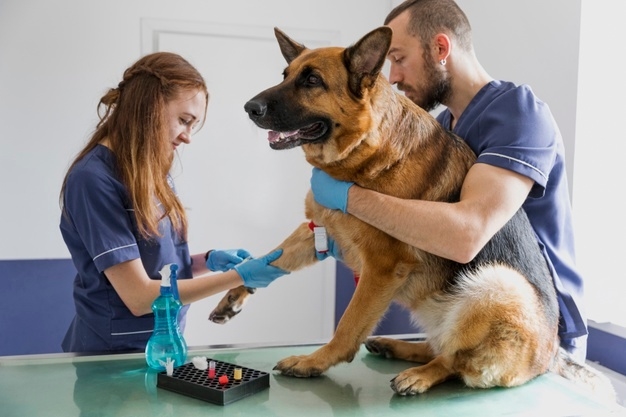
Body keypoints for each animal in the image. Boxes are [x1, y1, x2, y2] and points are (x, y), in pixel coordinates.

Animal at [212, 27, 612, 398]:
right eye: (285, 75)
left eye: (312, 80)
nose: (249, 107)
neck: (366, 152)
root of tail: (551, 356)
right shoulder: (319, 229)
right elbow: (271, 257)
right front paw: (236, 287)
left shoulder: (381, 268)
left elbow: (347, 325)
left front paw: (315, 362)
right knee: (442, 345)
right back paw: (397, 347)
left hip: (495, 283)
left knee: (454, 360)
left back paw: (420, 374)